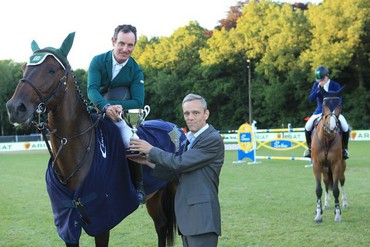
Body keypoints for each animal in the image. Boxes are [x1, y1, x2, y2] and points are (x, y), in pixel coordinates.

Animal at [5, 33, 185, 247]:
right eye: (24, 67)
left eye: (52, 70)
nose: (15, 108)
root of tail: (174, 128)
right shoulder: (68, 221)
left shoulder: (102, 220)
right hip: (155, 194)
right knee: (161, 225)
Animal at [310, 86, 348, 222]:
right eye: (324, 104)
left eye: (339, 104)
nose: (332, 128)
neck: (327, 139)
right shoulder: (316, 165)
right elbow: (318, 189)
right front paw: (318, 214)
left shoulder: (336, 165)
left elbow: (336, 189)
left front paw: (337, 214)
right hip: (325, 169)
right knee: (326, 182)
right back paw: (325, 204)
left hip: (341, 167)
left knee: (342, 181)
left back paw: (345, 203)